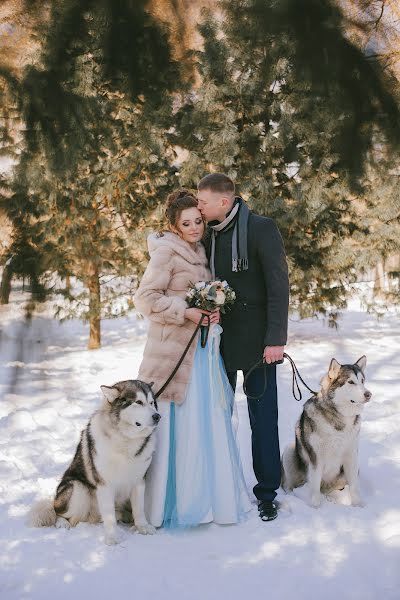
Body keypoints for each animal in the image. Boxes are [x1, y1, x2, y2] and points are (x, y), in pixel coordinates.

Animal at [27, 382, 161, 548]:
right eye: (138, 402)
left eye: (152, 403)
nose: (157, 416)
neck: (125, 440)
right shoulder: (104, 484)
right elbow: (109, 516)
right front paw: (111, 537)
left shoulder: (139, 480)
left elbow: (139, 509)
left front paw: (142, 527)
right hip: (77, 488)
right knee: (59, 512)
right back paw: (62, 523)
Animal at [282, 356, 372, 506]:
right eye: (351, 382)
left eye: (362, 381)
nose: (369, 394)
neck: (339, 419)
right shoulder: (316, 458)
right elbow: (314, 487)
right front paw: (316, 507)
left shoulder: (351, 455)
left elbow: (354, 486)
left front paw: (358, 505)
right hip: (289, 450)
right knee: (288, 485)